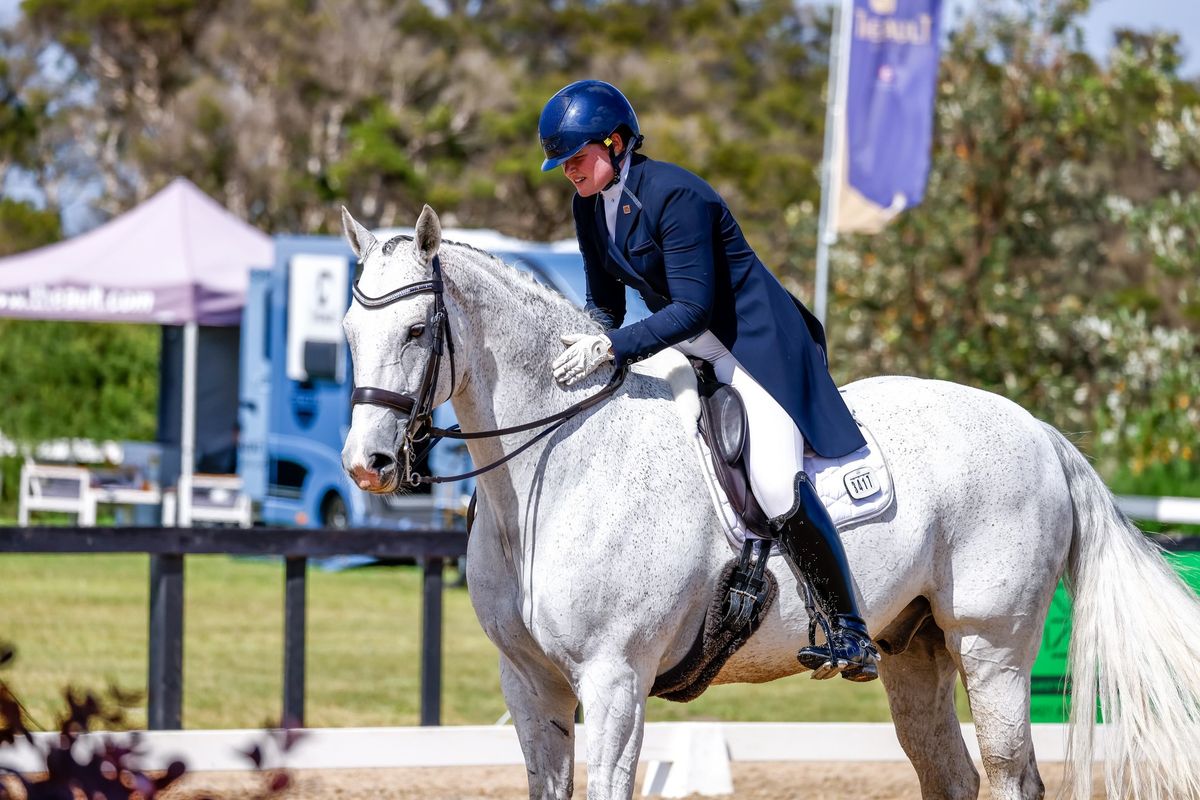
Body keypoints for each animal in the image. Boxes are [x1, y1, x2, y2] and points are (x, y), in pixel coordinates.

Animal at [338, 208, 1200, 800]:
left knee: (1011, 774)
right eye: (348, 331)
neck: (558, 466)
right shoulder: (530, 681)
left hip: (991, 646)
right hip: (913, 647)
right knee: (949, 774)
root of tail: (1038, 429)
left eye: (417, 330)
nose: (367, 465)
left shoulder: (614, 679)